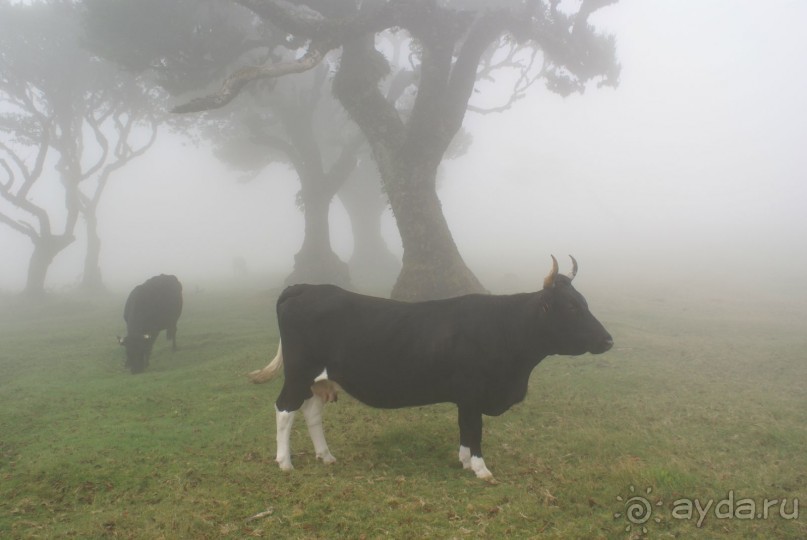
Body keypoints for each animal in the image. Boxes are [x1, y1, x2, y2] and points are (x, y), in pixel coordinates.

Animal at [249, 258, 608, 480]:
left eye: (584, 302)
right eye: (571, 307)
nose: (608, 339)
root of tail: (304, 287)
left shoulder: (466, 398)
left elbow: (465, 429)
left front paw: (464, 462)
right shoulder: (473, 392)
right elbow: (475, 429)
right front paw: (481, 469)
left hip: (317, 379)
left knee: (311, 412)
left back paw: (325, 456)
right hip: (298, 374)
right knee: (284, 410)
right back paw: (285, 463)